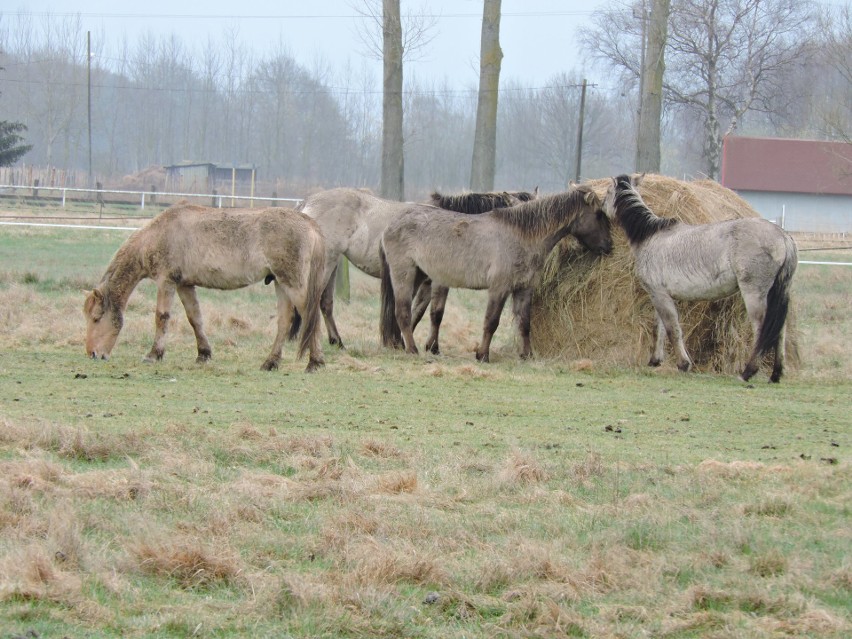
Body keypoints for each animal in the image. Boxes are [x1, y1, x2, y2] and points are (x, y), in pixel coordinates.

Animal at [83, 205, 328, 372]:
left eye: (96, 318)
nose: (92, 354)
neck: (160, 233)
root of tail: (308, 222)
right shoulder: (185, 285)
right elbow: (195, 319)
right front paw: (203, 353)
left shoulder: (166, 281)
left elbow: (161, 317)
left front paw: (154, 354)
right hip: (280, 283)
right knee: (285, 321)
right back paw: (270, 362)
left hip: (293, 284)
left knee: (311, 316)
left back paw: (314, 362)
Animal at [382, 188, 612, 362]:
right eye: (599, 215)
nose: (609, 246)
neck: (520, 235)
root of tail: (391, 224)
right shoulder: (499, 289)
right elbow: (491, 322)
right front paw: (482, 355)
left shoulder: (524, 289)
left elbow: (524, 323)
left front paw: (526, 355)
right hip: (404, 275)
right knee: (403, 312)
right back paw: (412, 350)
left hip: (420, 277)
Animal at [604, 172, 796, 382]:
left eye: (607, 192)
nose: (601, 211)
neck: (650, 236)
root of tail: (782, 236)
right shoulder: (662, 296)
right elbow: (660, 328)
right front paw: (655, 360)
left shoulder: (658, 294)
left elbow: (672, 329)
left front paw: (683, 364)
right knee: (780, 330)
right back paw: (776, 374)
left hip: (754, 293)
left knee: (762, 329)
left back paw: (747, 372)